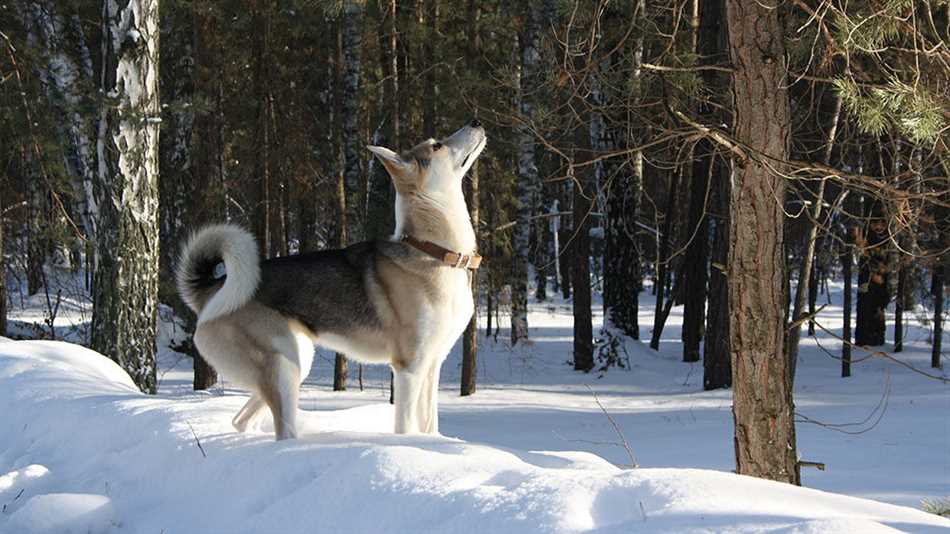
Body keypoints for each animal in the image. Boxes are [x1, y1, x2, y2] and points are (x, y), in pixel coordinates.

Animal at [178, 120, 488, 440]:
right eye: (436, 145)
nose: (476, 121)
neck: (434, 252)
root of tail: (213, 289)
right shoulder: (409, 368)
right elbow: (405, 427)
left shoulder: (432, 365)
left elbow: (429, 425)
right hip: (283, 367)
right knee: (282, 429)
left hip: (297, 361)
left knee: (241, 420)